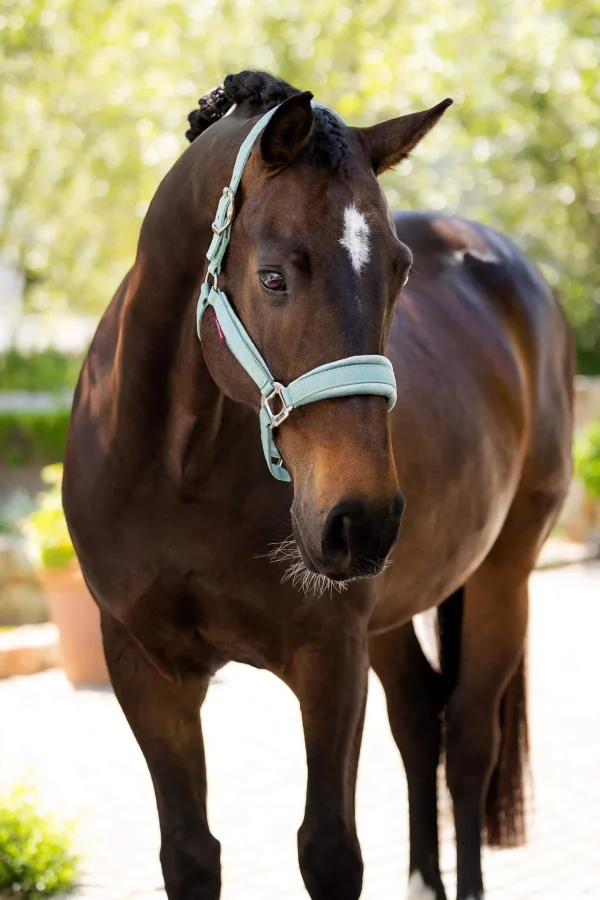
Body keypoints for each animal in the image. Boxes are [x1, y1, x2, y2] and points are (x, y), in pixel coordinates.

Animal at [63, 72, 576, 900]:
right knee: (419, 720)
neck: (175, 469)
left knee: (469, 738)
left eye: (399, 271)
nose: (360, 521)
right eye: (273, 275)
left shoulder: (329, 657)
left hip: (505, 572)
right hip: (393, 609)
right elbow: (189, 853)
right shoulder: (144, 667)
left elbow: (330, 850)